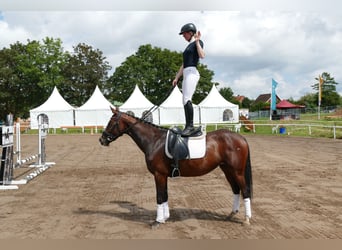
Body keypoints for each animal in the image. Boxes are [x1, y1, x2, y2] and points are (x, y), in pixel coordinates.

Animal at [99, 106, 254, 228]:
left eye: (111, 122)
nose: (102, 139)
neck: (155, 141)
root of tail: (241, 138)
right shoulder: (163, 175)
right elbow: (165, 195)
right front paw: (165, 217)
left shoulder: (159, 175)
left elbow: (159, 196)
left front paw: (158, 221)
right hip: (227, 170)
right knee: (236, 189)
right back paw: (232, 214)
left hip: (237, 171)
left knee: (245, 190)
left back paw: (246, 219)